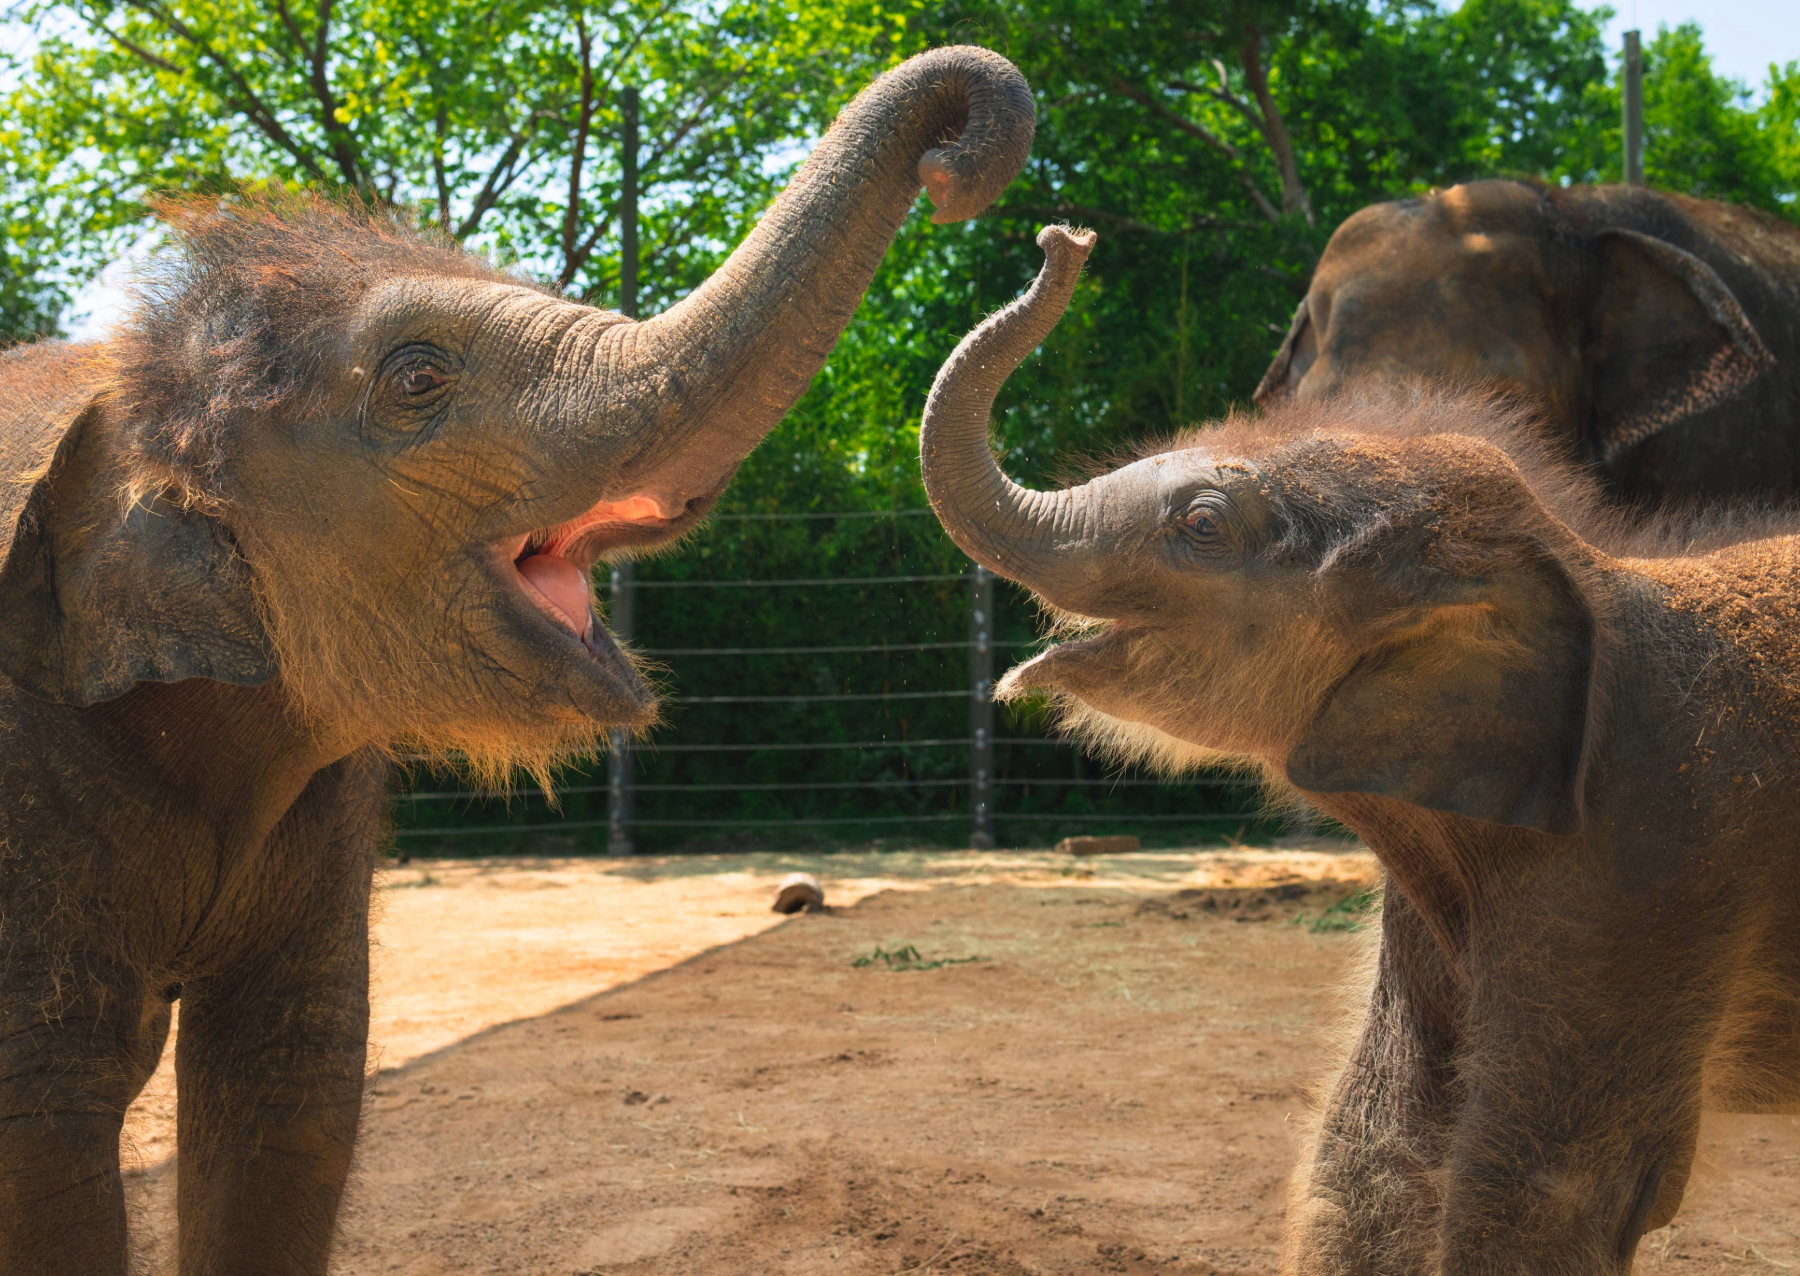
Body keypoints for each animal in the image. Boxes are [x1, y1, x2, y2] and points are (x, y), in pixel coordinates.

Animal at [921, 226, 1800, 1272]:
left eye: (1203, 525)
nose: (1067, 239)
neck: (1587, 568)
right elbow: (1374, 1149)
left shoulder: (1656, 869)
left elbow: (1544, 1193)